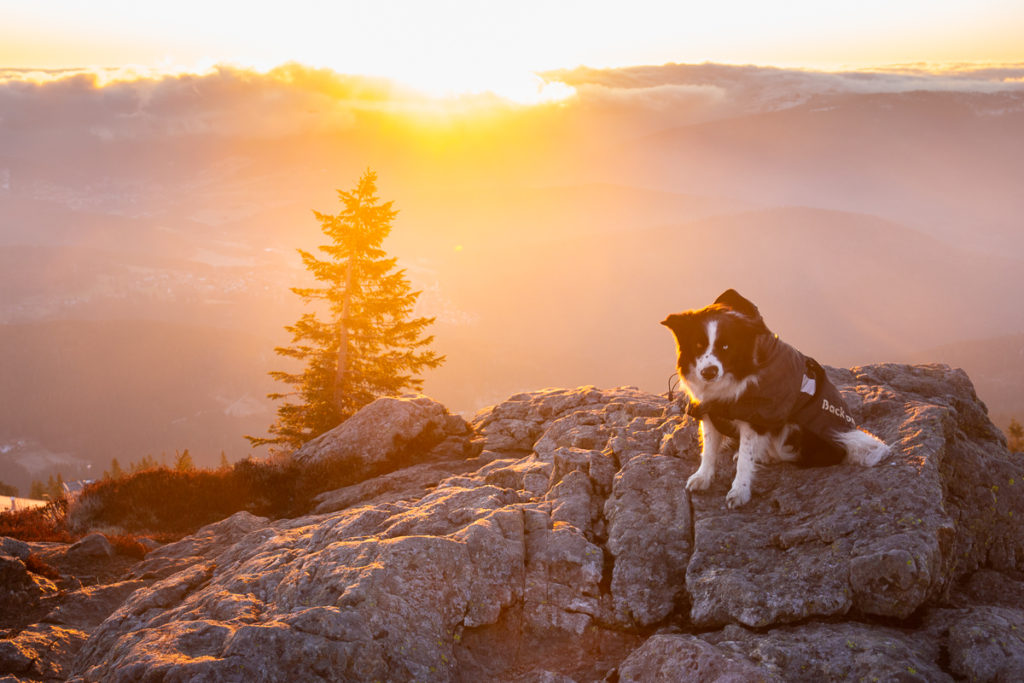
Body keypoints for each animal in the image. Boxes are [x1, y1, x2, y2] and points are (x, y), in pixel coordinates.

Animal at [663, 288, 888, 507]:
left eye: (726, 347)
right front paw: (703, 477)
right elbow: (709, 448)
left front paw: (740, 491)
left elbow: (745, 457)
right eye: (698, 345)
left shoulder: (756, 415)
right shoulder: (708, 410)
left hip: (796, 427)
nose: (708, 372)